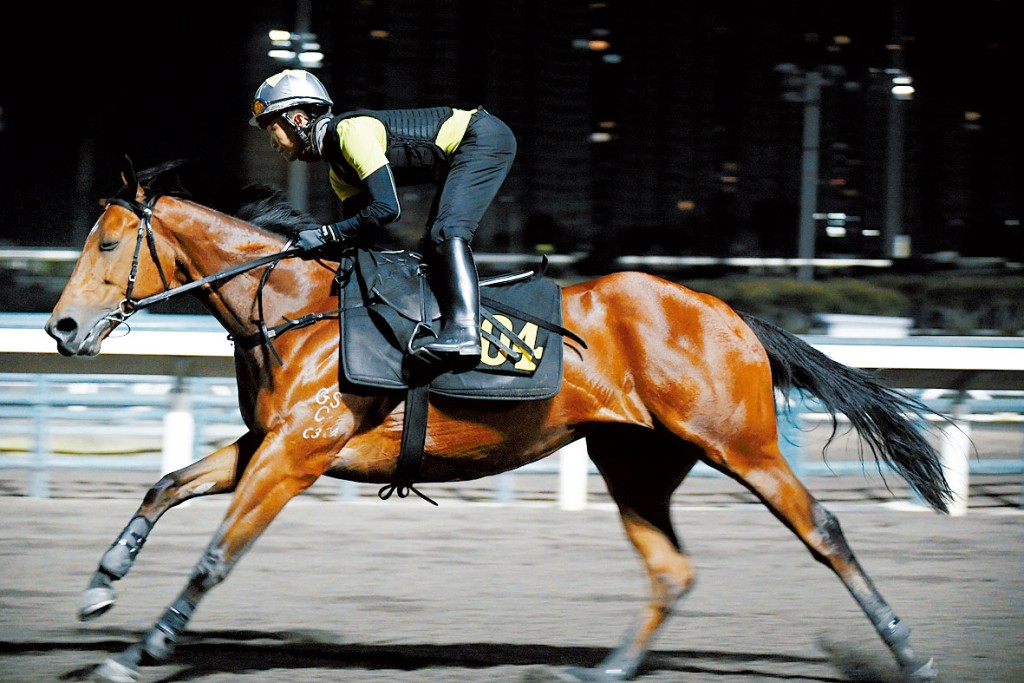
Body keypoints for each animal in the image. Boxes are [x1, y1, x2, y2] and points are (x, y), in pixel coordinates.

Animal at [45, 159, 953, 682]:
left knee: (823, 527)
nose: (60, 328)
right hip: (636, 460)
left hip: (740, 442)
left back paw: (909, 649)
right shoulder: (271, 442)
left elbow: (214, 555)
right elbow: (166, 483)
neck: (295, 306)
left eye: (108, 244)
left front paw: (140, 650)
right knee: (671, 571)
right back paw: (603, 672)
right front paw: (100, 583)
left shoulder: (296, 454)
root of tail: (732, 316)